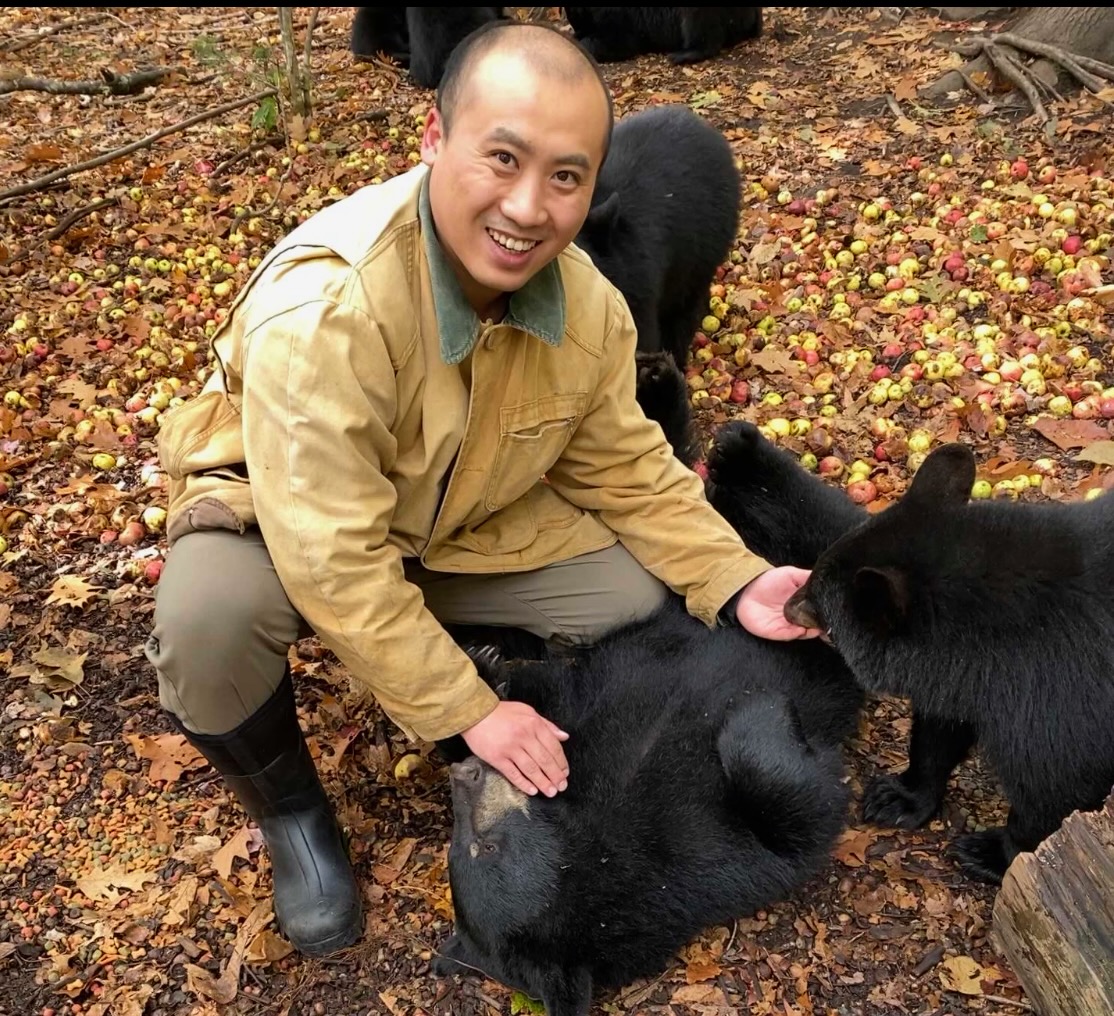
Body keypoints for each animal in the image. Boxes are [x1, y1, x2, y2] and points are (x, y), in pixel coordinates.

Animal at [433, 597, 862, 1015]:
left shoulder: (577, 727)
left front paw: (484, 671)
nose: (464, 774)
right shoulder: (709, 859)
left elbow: (545, 702)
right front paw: (756, 703)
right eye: (478, 846)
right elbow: (802, 818)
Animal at [773, 441, 1114, 884]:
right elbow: (941, 730)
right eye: (813, 578)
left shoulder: (1064, 699)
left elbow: (1058, 786)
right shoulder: (967, 678)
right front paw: (898, 797)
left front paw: (992, 852)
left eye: (816, 599)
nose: (785, 604)